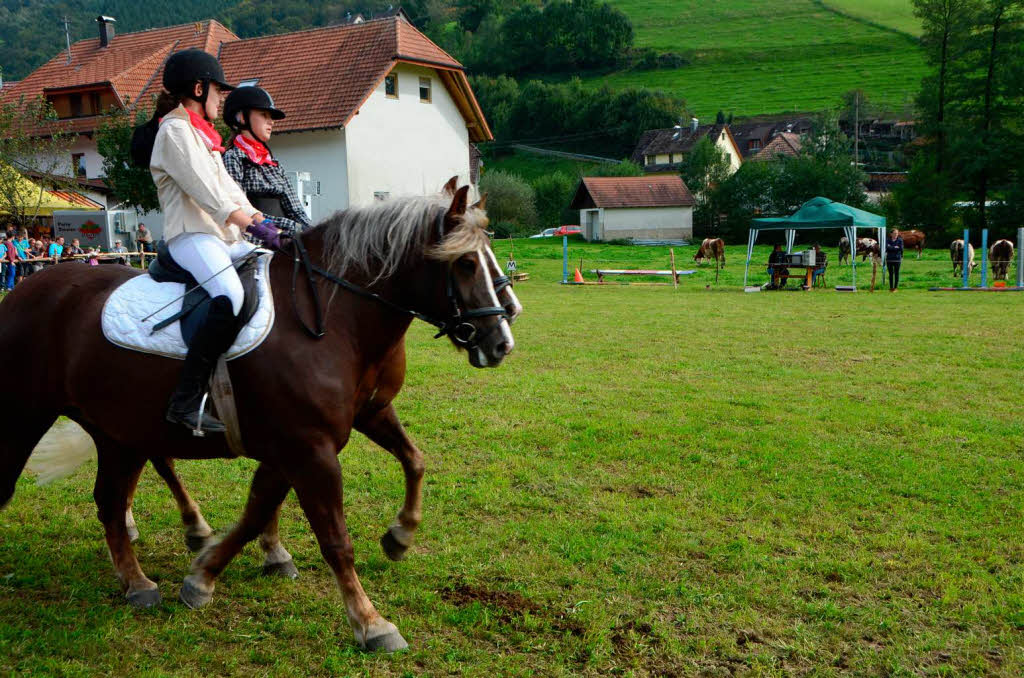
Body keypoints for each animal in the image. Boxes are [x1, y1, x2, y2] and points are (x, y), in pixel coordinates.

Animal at [0, 182, 520, 655]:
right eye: (466, 263)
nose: (502, 340)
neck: (332, 316)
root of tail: (25, 290)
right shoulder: (309, 448)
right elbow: (333, 538)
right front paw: (371, 623)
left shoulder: (346, 423)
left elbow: (404, 463)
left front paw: (397, 536)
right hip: (28, 415)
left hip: (117, 432)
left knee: (112, 498)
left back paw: (140, 580)